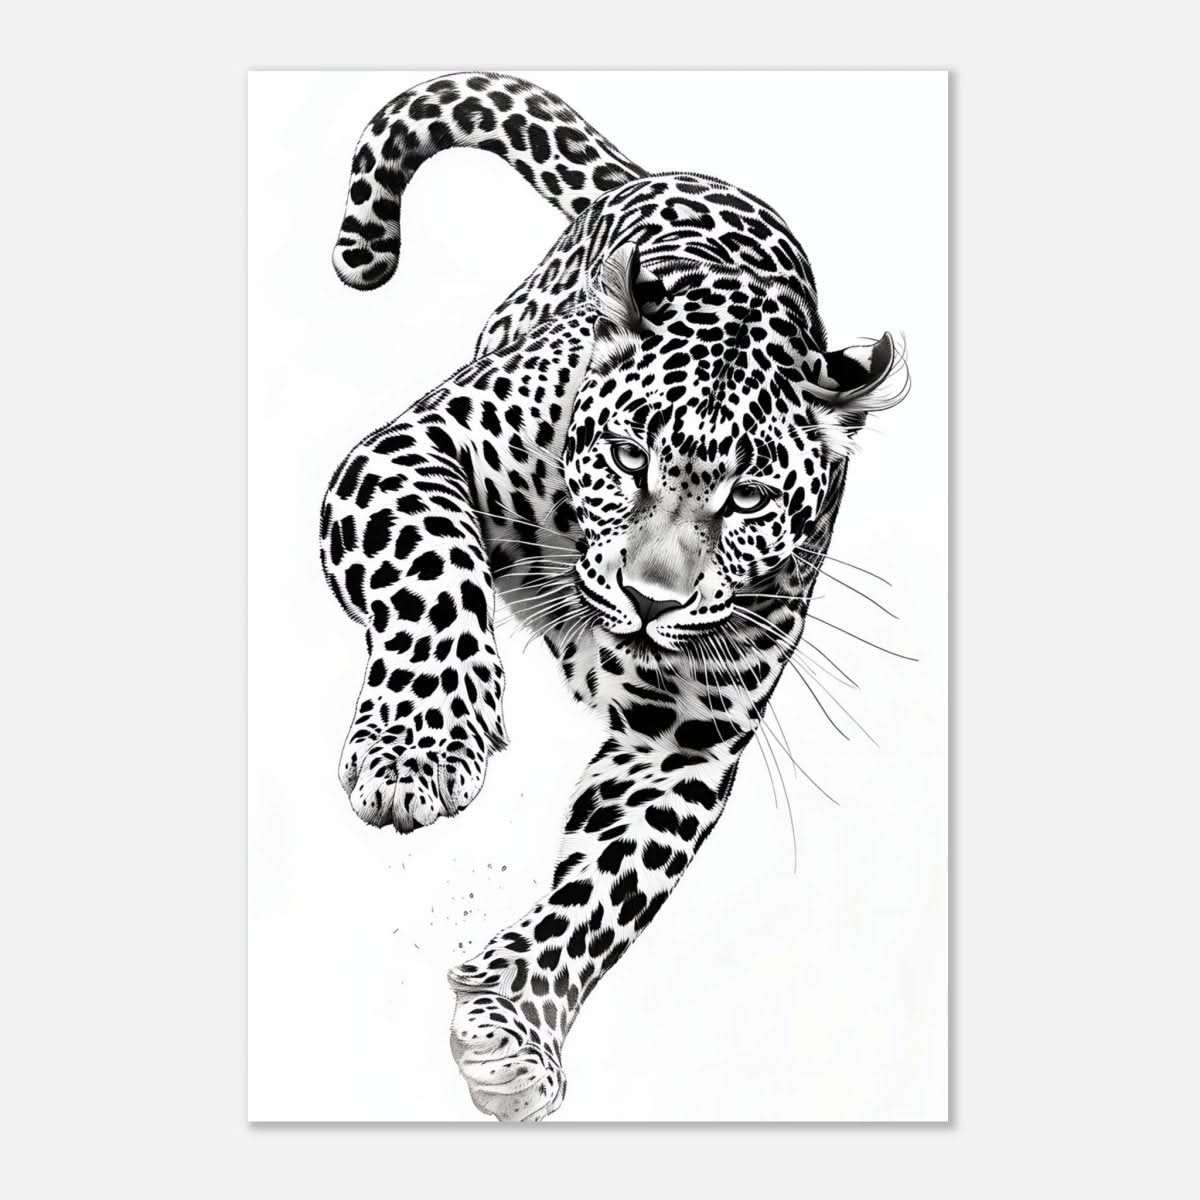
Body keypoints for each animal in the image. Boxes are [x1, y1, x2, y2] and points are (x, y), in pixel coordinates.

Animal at [321, 71, 909, 1121]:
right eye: (631, 457)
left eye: (748, 497)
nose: (648, 600)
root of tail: (665, 171)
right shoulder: (408, 452)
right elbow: (435, 575)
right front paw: (419, 748)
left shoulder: (685, 738)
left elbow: (605, 891)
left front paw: (515, 1027)